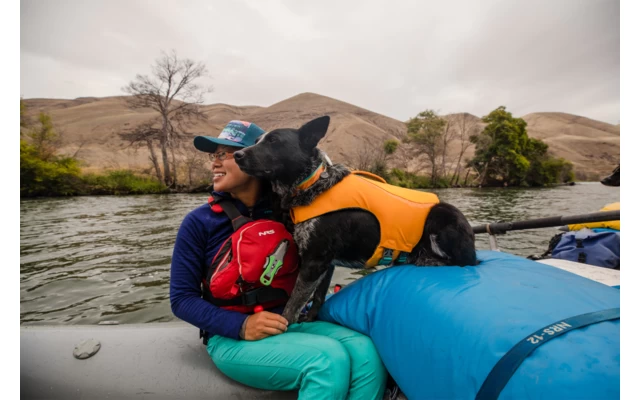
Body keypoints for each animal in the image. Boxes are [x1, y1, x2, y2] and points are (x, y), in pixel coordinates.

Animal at [234, 116, 477, 323]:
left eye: (274, 141)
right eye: (256, 141)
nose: (237, 155)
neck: (313, 184)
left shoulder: (314, 261)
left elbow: (292, 306)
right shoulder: (325, 263)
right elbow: (318, 297)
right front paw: (311, 318)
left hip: (442, 215)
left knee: (465, 262)